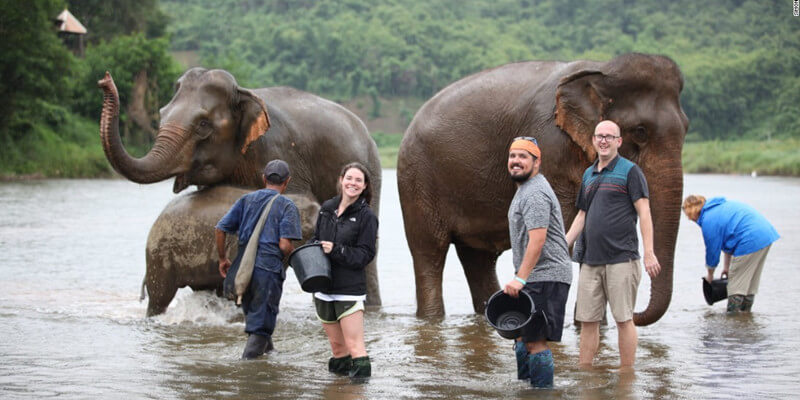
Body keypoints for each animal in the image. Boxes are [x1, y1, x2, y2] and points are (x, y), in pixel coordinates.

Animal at [98, 68, 382, 316]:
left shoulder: (281, 152)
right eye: (161, 114)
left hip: (372, 172)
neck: (243, 94)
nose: (104, 79)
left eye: (203, 124)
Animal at [397, 53, 688, 325]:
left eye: (686, 129)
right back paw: (432, 318)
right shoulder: (550, 145)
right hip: (417, 178)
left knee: (478, 258)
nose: (635, 314)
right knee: (430, 251)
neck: (602, 69)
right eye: (640, 131)